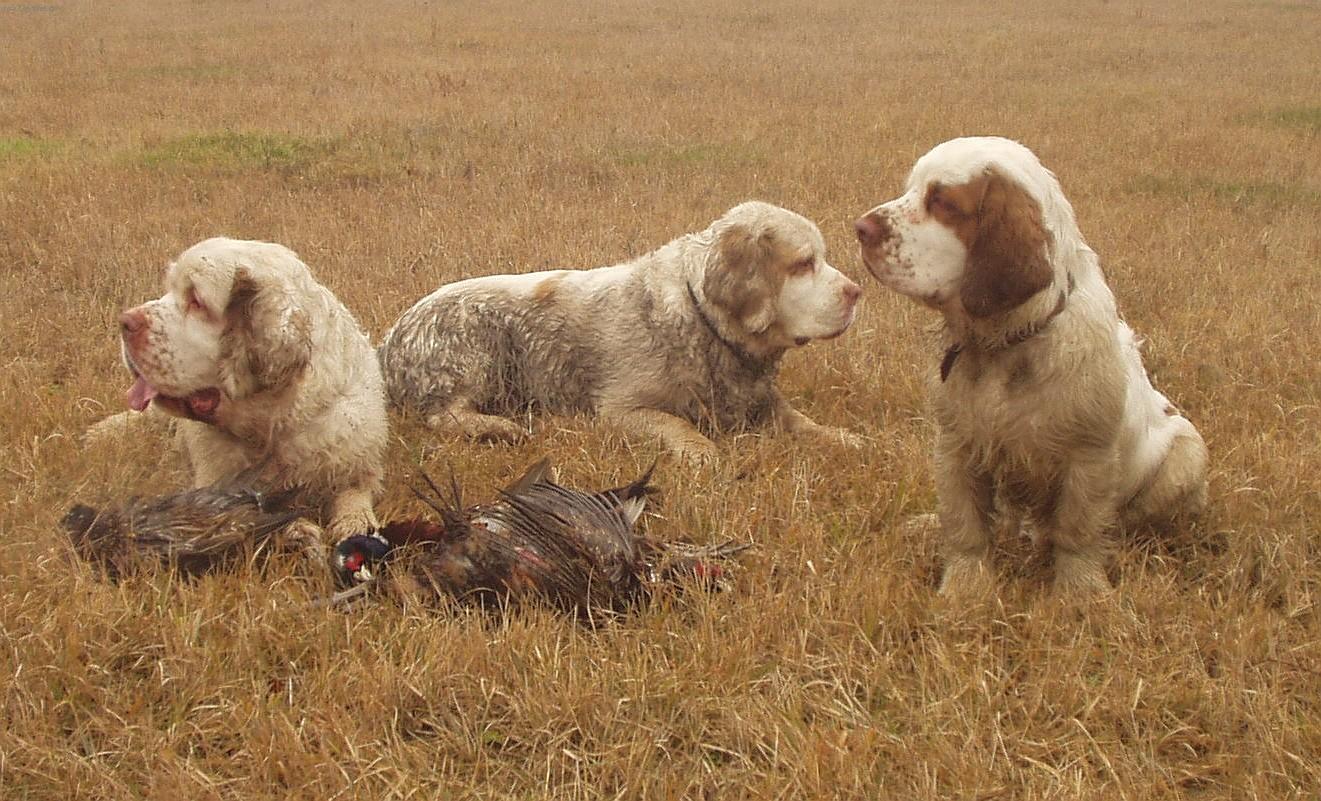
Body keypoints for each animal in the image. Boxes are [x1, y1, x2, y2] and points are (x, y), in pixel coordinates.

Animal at [107, 235, 385, 541]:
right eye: (170, 289)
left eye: (197, 301)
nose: (124, 322)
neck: (272, 427)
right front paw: (298, 530)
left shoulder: (355, 464)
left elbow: (354, 498)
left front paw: (354, 525)